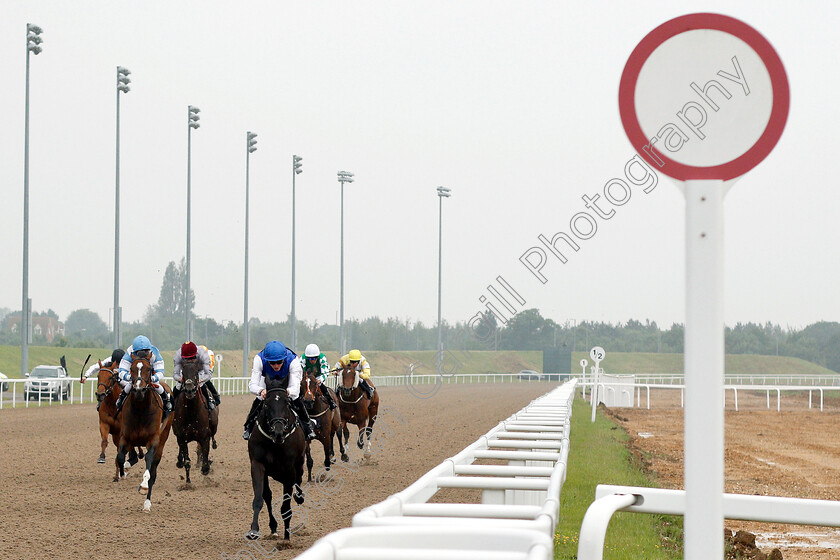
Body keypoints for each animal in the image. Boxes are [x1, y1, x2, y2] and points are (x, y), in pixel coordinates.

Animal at [115, 356, 173, 516]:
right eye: (131, 369)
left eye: (149, 369)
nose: (139, 390)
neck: (141, 409)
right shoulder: (125, 437)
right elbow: (120, 457)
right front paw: (123, 472)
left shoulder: (153, 440)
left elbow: (148, 461)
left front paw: (144, 485)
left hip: (162, 440)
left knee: (153, 471)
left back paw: (147, 503)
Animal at [171, 358, 218, 486]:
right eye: (183, 372)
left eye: (197, 372)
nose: (189, 390)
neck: (191, 412)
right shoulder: (182, 438)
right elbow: (187, 461)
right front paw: (188, 482)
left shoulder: (204, 437)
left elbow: (205, 461)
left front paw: (206, 465)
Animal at [244, 378, 306, 540]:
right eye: (266, 404)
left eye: (287, 403)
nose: (278, 432)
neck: (275, 443)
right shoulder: (258, 465)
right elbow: (260, 498)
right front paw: (254, 530)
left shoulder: (289, 470)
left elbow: (286, 508)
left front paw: (287, 538)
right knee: (268, 495)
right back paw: (273, 527)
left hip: (299, 464)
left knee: (299, 480)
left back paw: (299, 497)